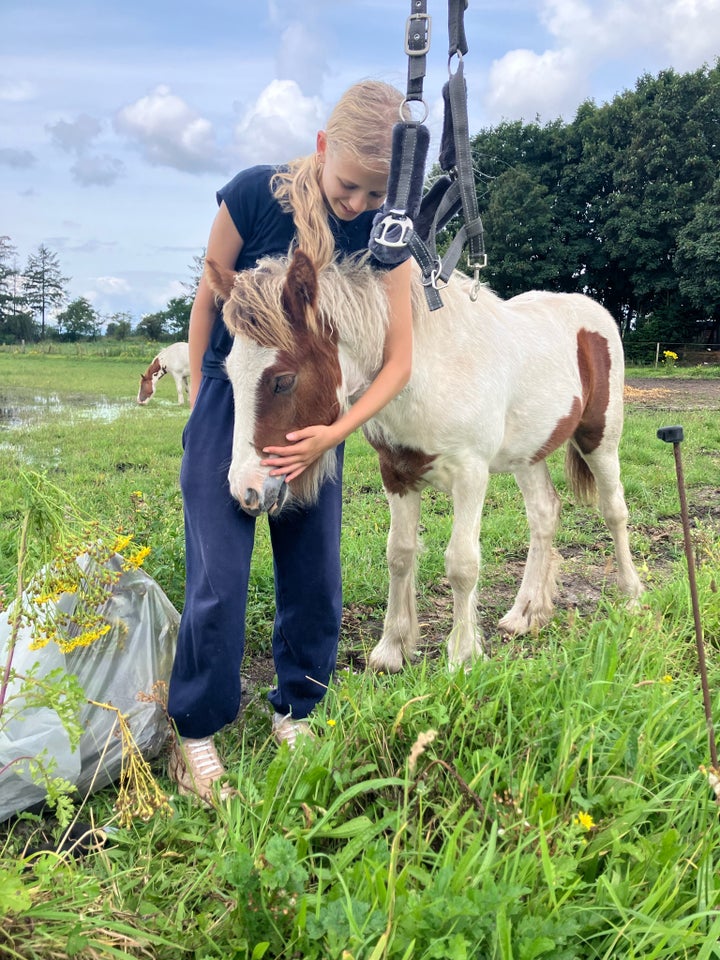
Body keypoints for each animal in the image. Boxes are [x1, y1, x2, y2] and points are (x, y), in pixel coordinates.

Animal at [205, 253, 644, 676]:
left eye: (283, 380)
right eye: (230, 374)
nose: (246, 489)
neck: (428, 371)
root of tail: (593, 311)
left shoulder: (471, 475)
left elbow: (462, 564)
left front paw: (463, 657)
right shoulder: (397, 474)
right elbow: (399, 553)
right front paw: (392, 649)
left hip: (600, 438)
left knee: (613, 509)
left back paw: (632, 595)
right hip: (528, 454)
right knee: (544, 514)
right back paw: (526, 613)